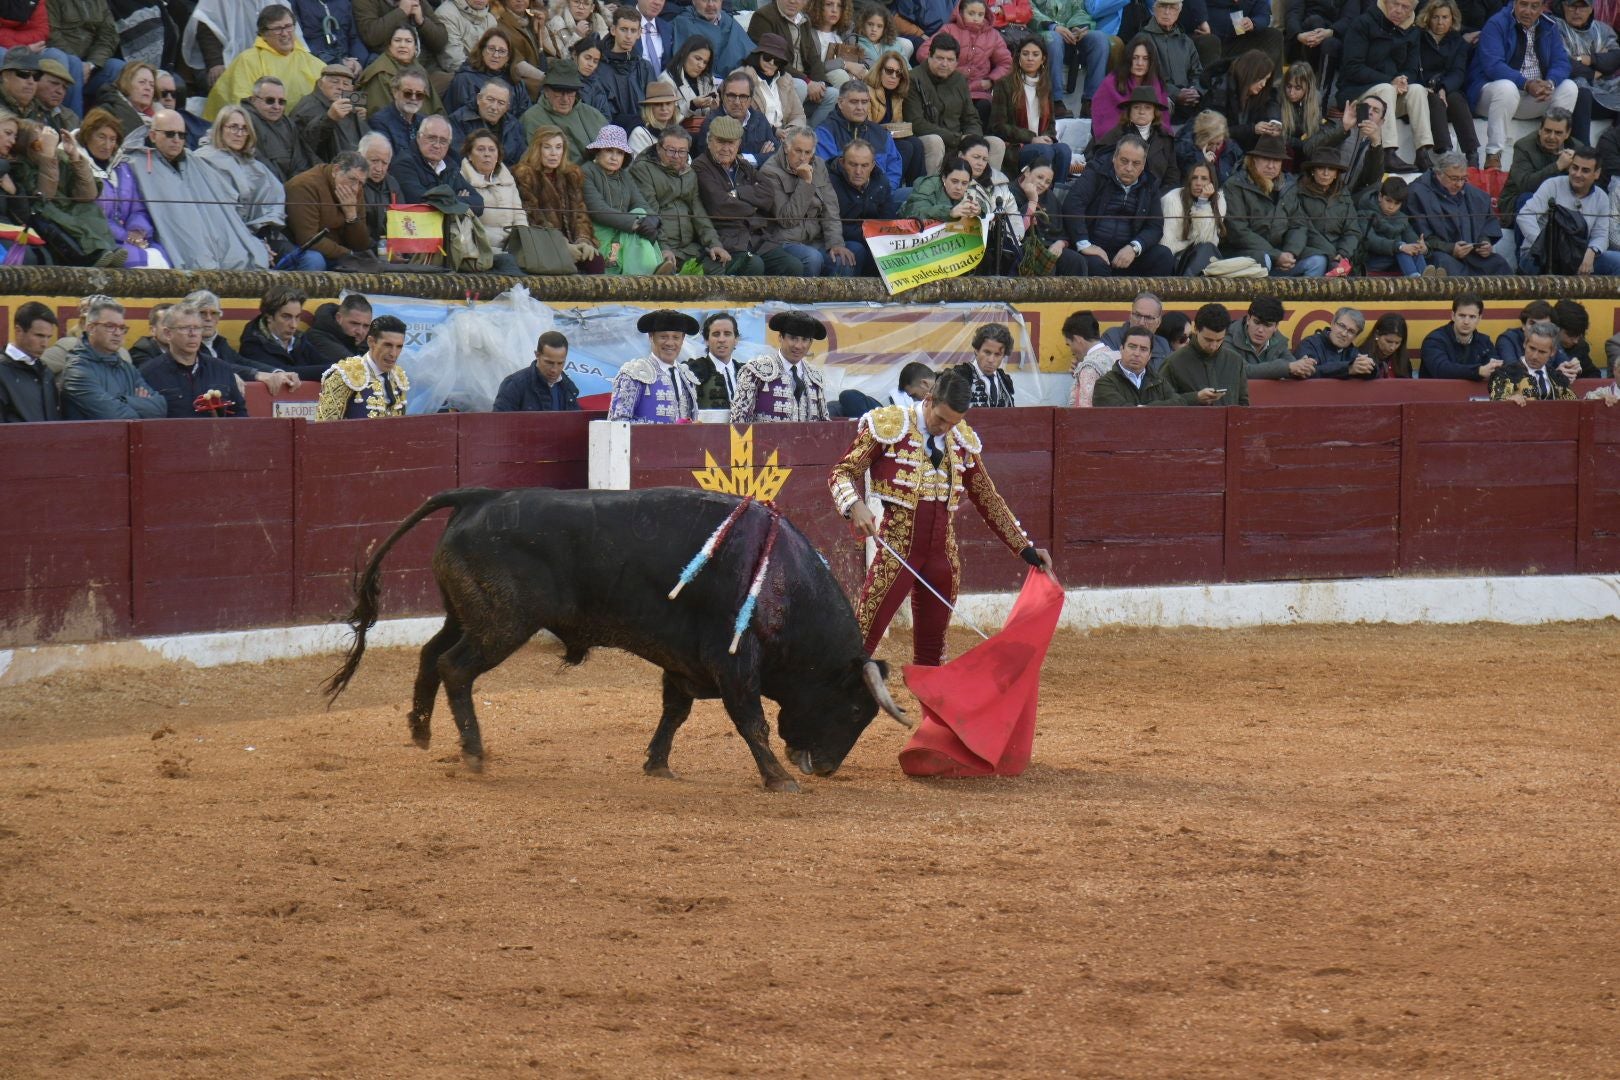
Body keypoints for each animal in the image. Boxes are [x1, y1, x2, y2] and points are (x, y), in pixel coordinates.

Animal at [325, 488, 913, 793]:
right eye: (855, 710)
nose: (828, 767)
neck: (780, 581)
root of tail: (479, 495)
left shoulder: (685, 663)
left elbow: (674, 712)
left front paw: (658, 764)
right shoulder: (734, 664)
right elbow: (751, 721)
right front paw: (777, 780)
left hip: (465, 613)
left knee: (430, 655)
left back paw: (422, 730)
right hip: (501, 624)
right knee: (455, 668)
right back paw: (472, 753)